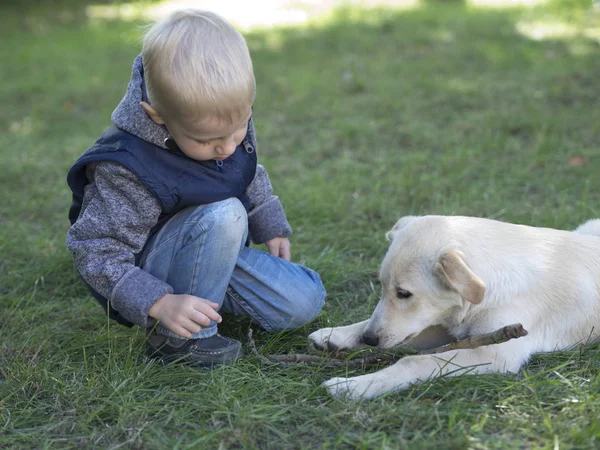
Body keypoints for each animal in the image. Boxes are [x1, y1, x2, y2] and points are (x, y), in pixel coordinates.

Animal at [310, 216, 600, 400]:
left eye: (404, 294)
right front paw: (335, 334)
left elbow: (413, 361)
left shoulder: (493, 352)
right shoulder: (444, 327)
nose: (369, 339)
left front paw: (352, 387)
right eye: (381, 286)